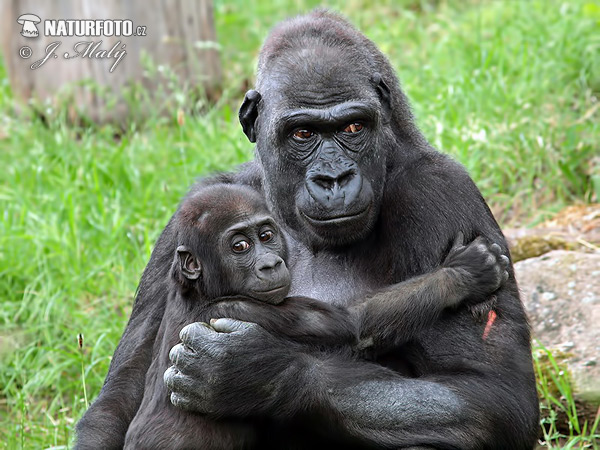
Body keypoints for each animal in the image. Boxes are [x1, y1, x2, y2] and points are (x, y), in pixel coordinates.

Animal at [124, 184, 508, 450]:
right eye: (239, 246)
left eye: (266, 235)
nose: (270, 264)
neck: (202, 289)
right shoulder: (245, 308)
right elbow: (351, 324)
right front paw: (460, 276)